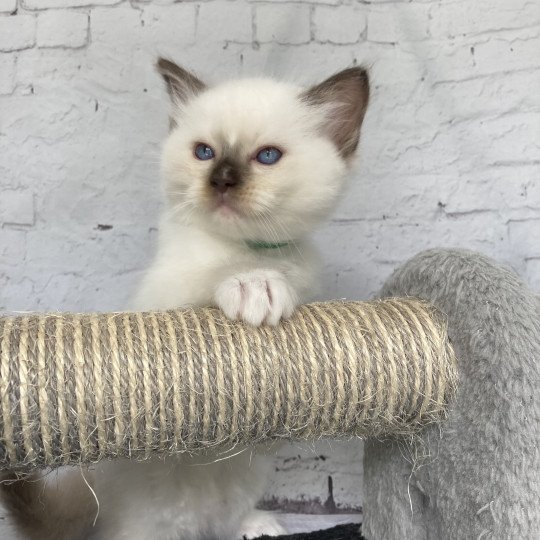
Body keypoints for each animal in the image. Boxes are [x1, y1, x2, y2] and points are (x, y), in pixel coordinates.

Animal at [0, 60, 370, 540]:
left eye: (267, 157)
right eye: (204, 153)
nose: (221, 182)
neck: (244, 247)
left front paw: (271, 283)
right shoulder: (159, 303)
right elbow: (206, 281)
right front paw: (252, 285)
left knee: (228, 521)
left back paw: (257, 526)